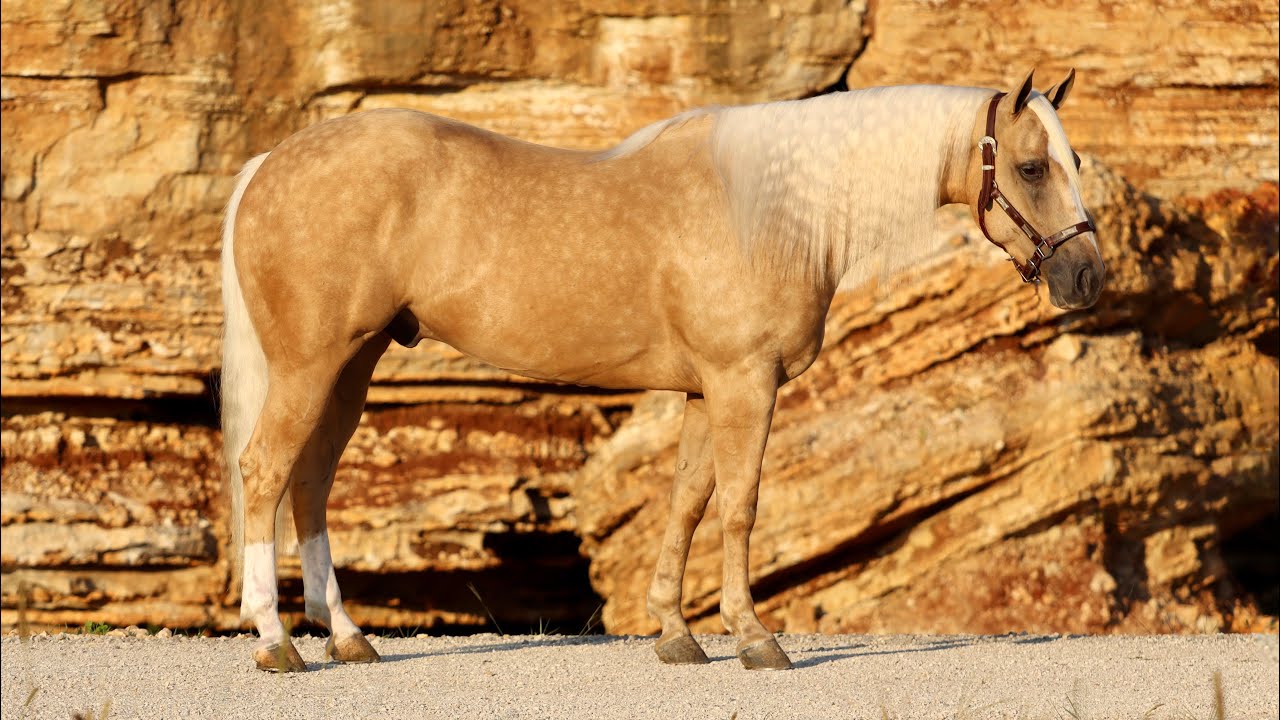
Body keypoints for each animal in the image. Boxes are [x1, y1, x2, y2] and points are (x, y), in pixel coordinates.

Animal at [220, 69, 1104, 673]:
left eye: (1075, 158)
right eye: (1032, 168)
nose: (1088, 277)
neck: (774, 212)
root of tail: (268, 162)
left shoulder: (704, 392)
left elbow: (685, 504)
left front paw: (676, 635)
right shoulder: (744, 383)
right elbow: (740, 507)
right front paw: (754, 639)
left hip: (351, 364)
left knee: (311, 482)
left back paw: (347, 637)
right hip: (311, 365)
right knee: (264, 472)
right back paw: (274, 641)